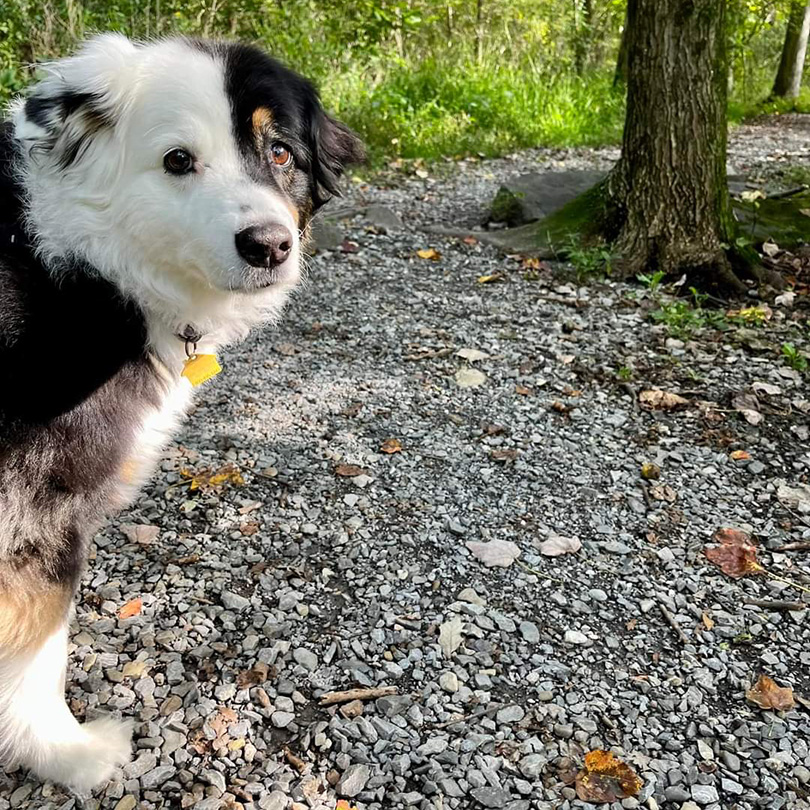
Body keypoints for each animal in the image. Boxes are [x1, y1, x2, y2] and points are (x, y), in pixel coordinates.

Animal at [0, 34, 362, 792]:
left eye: (280, 151)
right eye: (177, 160)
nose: (269, 245)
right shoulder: (36, 503)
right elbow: (37, 647)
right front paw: (65, 753)